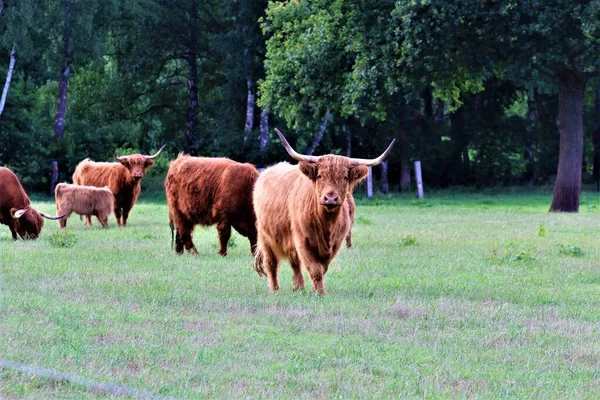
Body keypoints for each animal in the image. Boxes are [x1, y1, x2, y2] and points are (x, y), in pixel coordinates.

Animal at [252, 128, 394, 294]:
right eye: (319, 176)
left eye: (345, 177)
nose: (330, 198)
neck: (326, 223)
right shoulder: (302, 240)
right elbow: (315, 269)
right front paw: (320, 293)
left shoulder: (336, 243)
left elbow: (322, 268)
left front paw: (315, 290)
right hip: (265, 235)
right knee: (271, 263)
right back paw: (274, 289)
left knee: (295, 263)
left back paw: (298, 287)